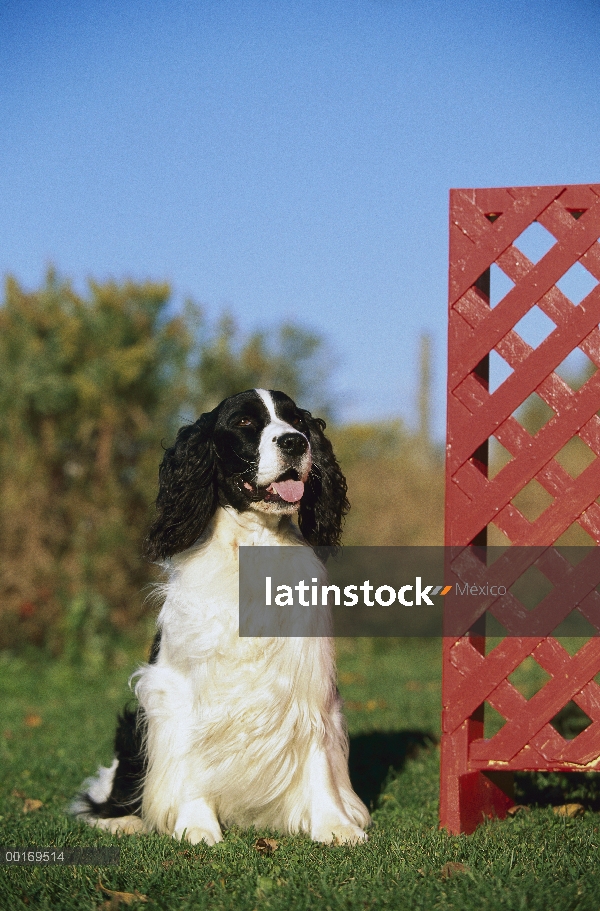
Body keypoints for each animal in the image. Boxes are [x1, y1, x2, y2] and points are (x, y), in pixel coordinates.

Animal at [72, 388, 368, 844]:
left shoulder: (308, 682)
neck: (254, 547)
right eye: (244, 423)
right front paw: (196, 825)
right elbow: (192, 756)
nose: (295, 442)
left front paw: (334, 825)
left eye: (297, 420)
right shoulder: (181, 688)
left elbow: (317, 751)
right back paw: (122, 820)